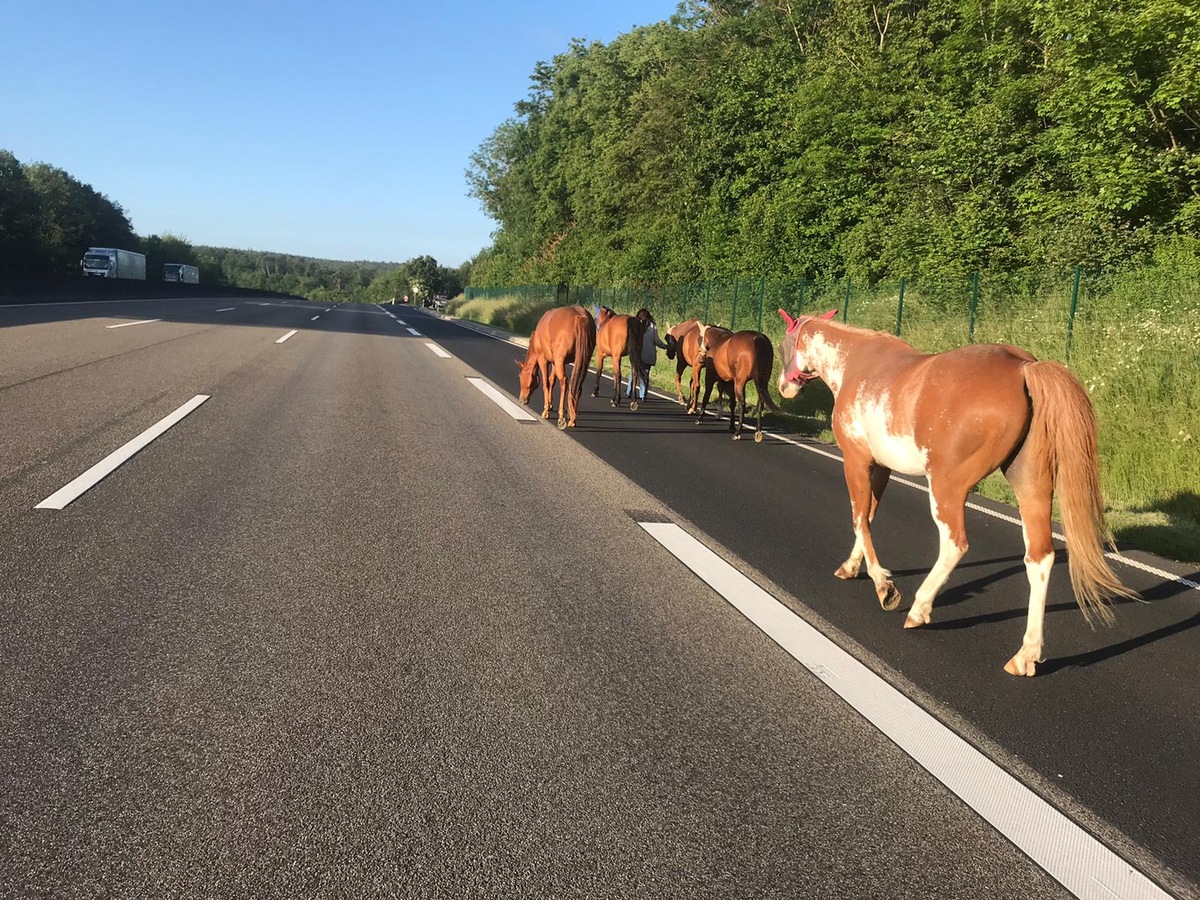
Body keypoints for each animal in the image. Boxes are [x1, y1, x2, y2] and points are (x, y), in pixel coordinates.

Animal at [777, 307, 1132, 672]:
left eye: (781, 346)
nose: (783, 386)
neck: (855, 363)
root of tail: (1023, 367)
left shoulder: (856, 460)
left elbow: (859, 518)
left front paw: (883, 586)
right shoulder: (882, 469)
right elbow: (869, 516)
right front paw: (851, 567)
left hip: (945, 486)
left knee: (955, 544)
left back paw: (919, 608)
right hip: (1031, 486)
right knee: (1039, 557)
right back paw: (1025, 655)